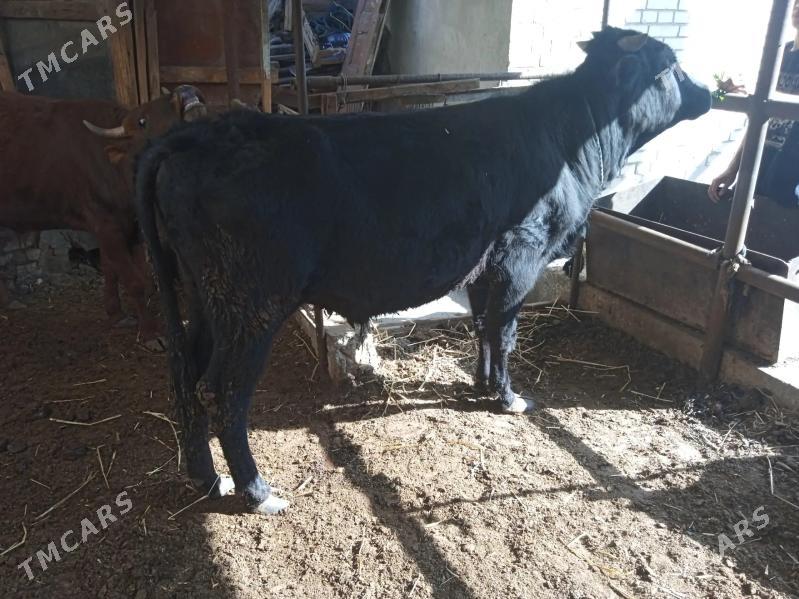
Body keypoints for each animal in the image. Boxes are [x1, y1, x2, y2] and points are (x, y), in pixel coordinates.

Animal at [0, 85, 205, 338]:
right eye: (142, 121)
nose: (185, 90)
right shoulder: (104, 224)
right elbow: (133, 280)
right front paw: (150, 331)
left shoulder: (122, 224)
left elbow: (110, 267)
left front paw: (115, 313)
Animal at [135, 28, 712, 514]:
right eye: (672, 66)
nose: (709, 92)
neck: (576, 141)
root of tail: (197, 135)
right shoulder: (521, 255)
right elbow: (506, 332)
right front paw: (509, 398)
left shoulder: (485, 268)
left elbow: (483, 329)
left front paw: (482, 386)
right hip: (252, 301)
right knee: (223, 391)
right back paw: (256, 492)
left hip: (205, 296)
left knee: (184, 372)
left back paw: (206, 477)